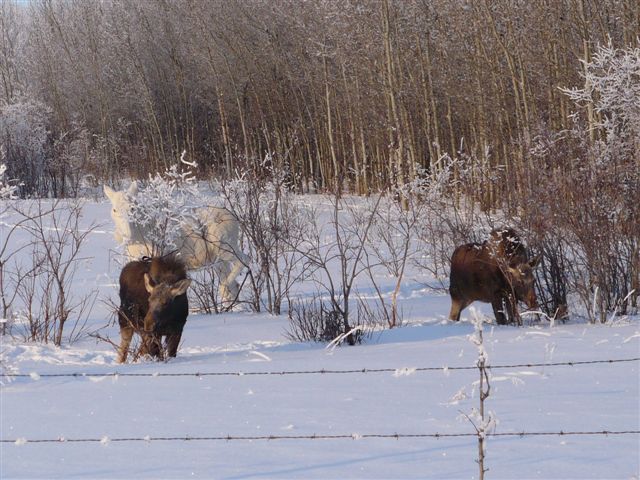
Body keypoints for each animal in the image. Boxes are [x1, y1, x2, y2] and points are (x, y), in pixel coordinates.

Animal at [105, 182, 248, 302]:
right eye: (114, 209)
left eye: (133, 208)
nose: (125, 235)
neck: (139, 238)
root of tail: (235, 220)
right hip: (217, 260)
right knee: (234, 285)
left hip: (224, 246)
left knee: (245, 260)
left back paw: (224, 288)